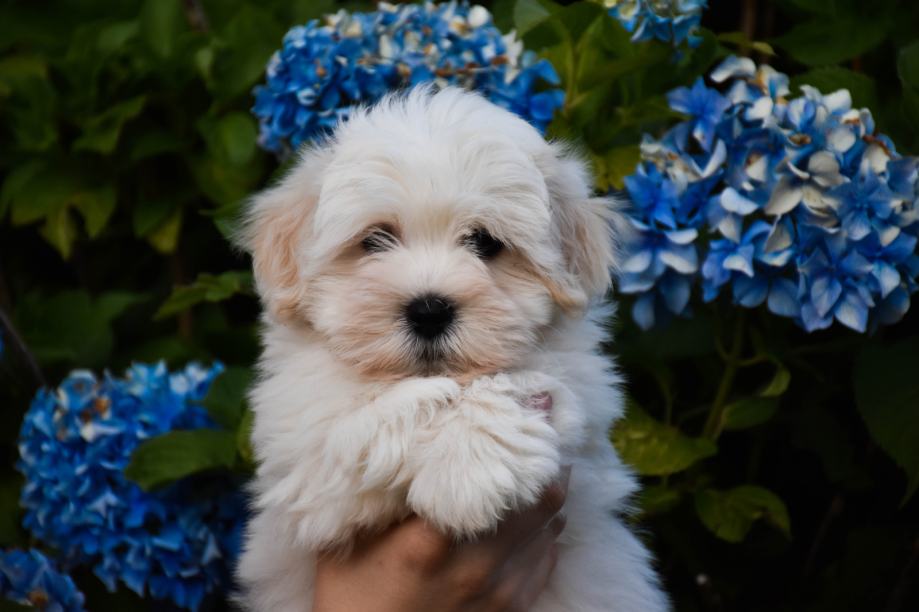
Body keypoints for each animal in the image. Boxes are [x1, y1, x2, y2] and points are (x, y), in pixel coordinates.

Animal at [237, 86, 668, 612]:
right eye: (375, 239)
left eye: (485, 242)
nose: (428, 310)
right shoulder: (300, 452)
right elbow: (361, 420)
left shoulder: (581, 399)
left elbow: (513, 385)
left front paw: (468, 473)